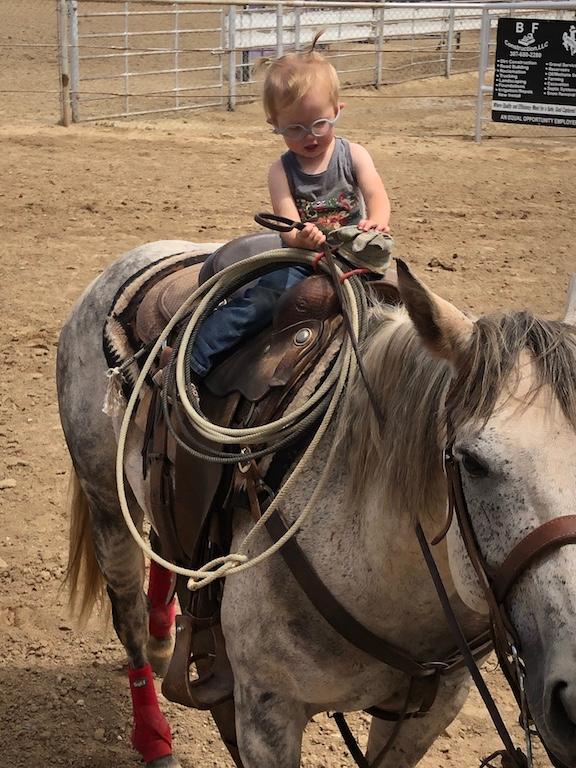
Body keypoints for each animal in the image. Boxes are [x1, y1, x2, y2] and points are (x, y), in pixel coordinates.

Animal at [57, 242, 576, 768]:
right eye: (471, 461)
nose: (573, 696)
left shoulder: (430, 710)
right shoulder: (266, 713)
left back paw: (165, 636)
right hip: (106, 499)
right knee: (128, 619)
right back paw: (154, 736)